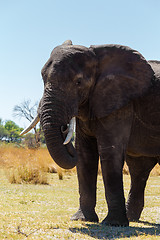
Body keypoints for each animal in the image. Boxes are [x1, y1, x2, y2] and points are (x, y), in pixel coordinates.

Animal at [21, 40, 160, 226]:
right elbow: (85, 154)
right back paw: (132, 219)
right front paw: (82, 219)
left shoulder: (120, 101)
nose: (64, 128)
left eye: (79, 82)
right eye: (43, 78)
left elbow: (109, 151)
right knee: (139, 169)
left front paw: (113, 223)